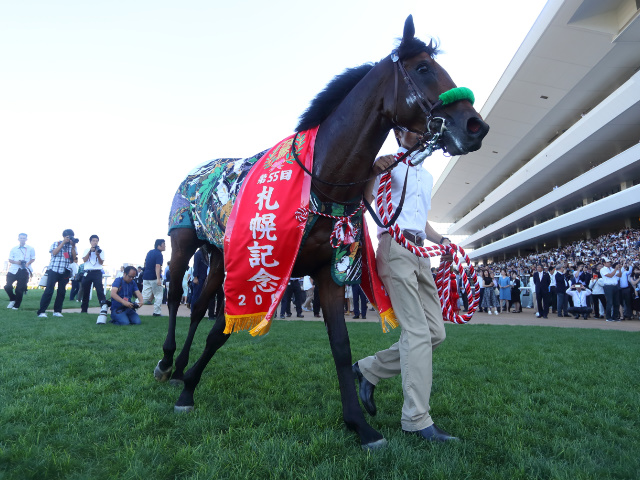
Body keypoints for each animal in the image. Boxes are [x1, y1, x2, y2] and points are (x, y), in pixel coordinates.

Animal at [155, 15, 490, 450]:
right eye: (422, 68)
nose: (475, 125)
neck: (321, 181)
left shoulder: (329, 272)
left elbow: (341, 347)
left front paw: (360, 424)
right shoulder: (261, 268)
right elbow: (220, 331)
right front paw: (189, 391)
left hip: (216, 256)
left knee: (196, 305)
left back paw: (179, 366)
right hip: (184, 243)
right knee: (175, 297)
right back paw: (167, 363)